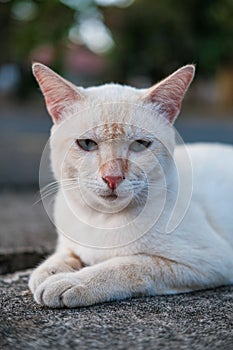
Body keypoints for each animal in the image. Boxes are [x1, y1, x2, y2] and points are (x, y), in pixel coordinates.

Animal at [29, 62, 233, 306]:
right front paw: (47, 272)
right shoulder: (70, 244)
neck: (102, 221)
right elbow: (65, 254)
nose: (112, 177)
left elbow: (129, 264)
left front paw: (69, 281)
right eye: (87, 144)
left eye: (140, 144)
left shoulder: (209, 259)